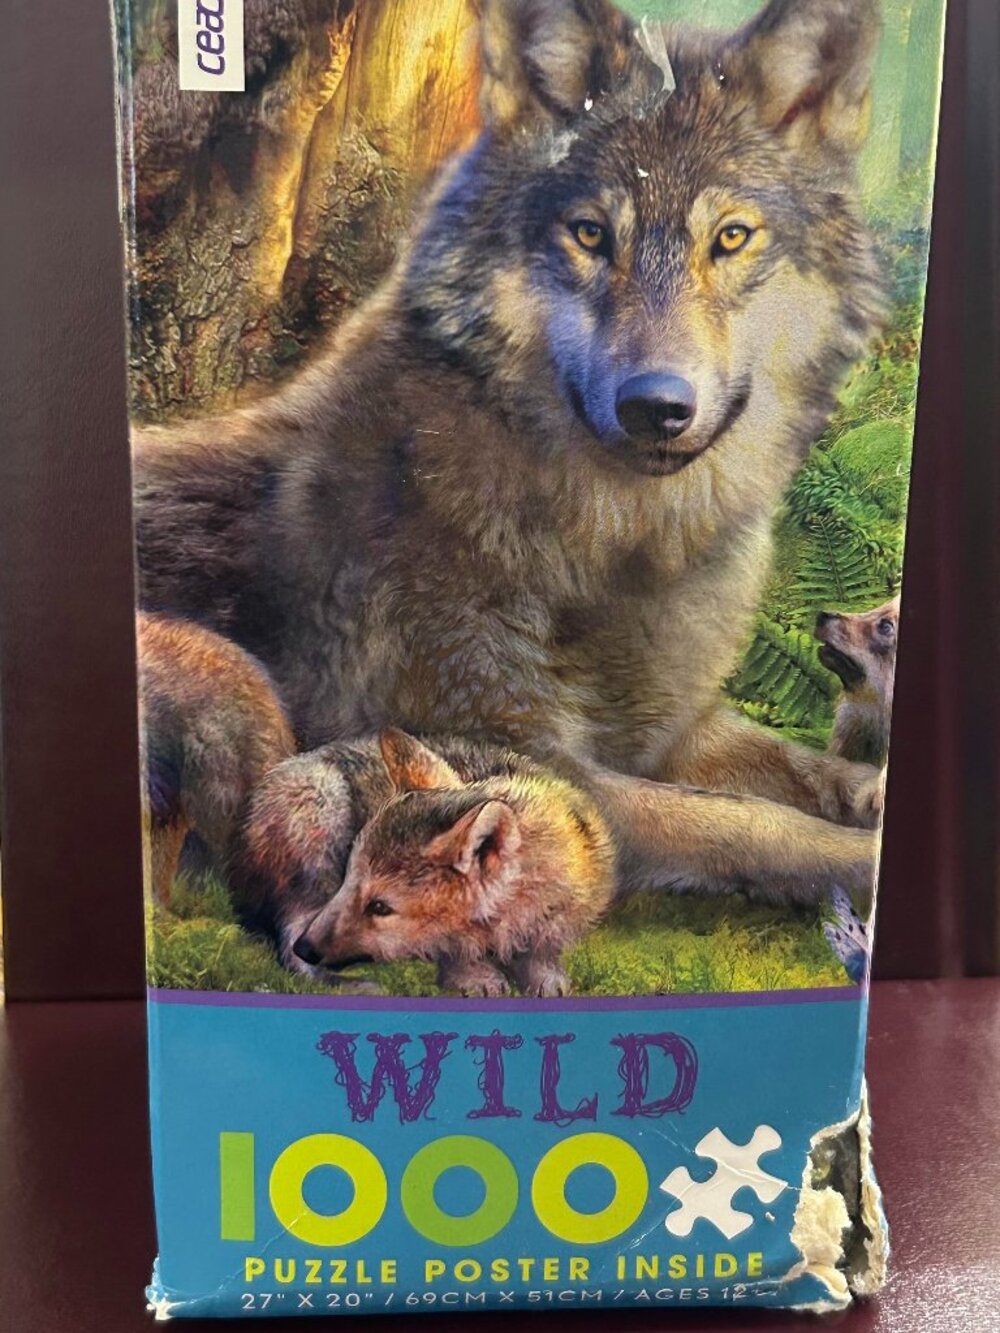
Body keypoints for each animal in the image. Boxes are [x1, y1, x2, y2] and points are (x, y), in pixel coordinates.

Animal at [233, 728, 615, 993]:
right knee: (290, 926)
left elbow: (542, 951)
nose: (307, 948)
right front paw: (475, 978)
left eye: (380, 907)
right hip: (316, 823)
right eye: (348, 879)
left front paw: (547, 981)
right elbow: (456, 953)